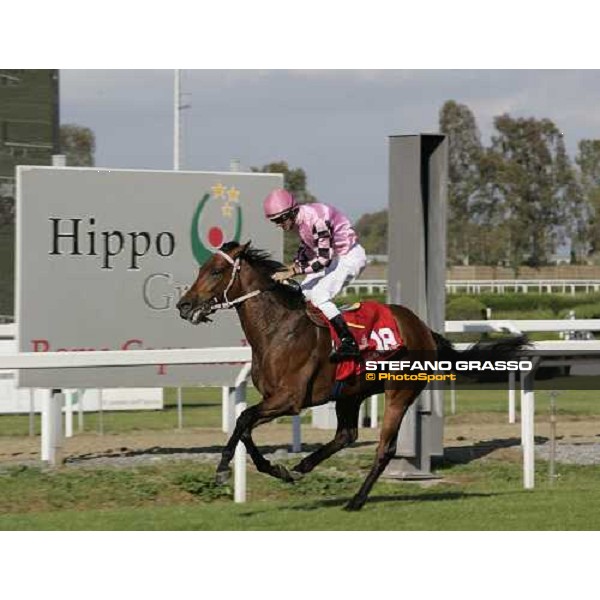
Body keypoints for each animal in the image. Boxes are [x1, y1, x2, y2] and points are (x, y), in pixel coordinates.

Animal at [176, 240, 524, 510]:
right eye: (201, 269)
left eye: (216, 272)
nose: (184, 305)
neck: (278, 329)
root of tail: (424, 329)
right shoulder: (274, 400)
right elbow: (245, 426)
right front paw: (276, 469)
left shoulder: (289, 399)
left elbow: (243, 419)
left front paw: (224, 470)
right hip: (350, 394)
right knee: (346, 435)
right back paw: (302, 467)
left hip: (399, 393)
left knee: (385, 449)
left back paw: (356, 500)